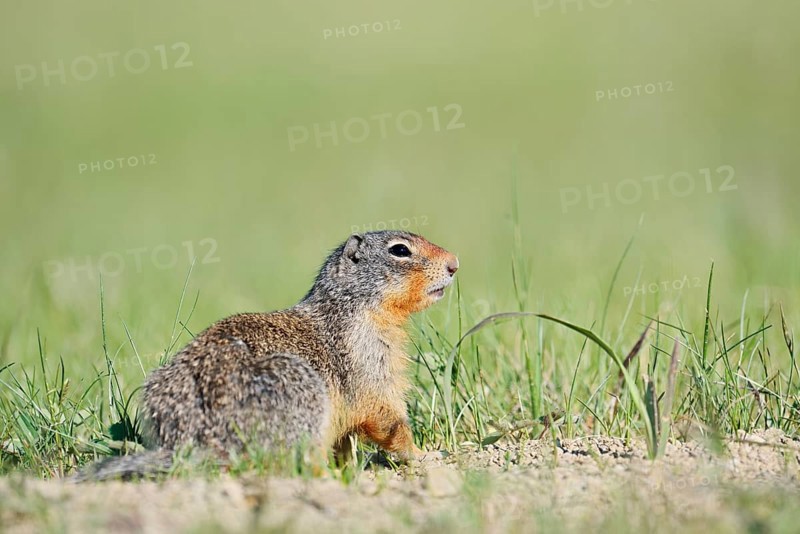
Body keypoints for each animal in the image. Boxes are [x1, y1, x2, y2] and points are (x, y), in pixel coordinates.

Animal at [75, 230, 458, 480]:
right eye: (400, 250)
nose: (455, 263)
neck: (354, 305)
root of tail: (196, 442)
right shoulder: (369, 356)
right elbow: (387, 416)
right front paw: (426, 455)